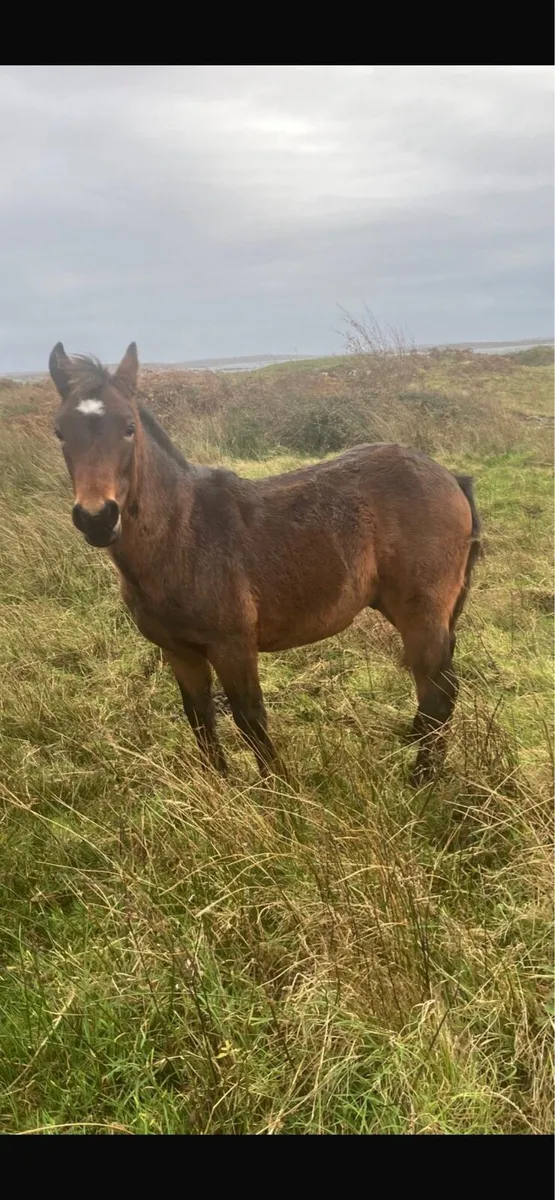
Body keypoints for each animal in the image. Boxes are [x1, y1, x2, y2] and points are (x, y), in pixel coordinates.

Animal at [49, 341, 481, 782]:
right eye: (60, 432)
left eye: (128, 428)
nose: (97, 518)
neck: (182, 534)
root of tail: (449, 476)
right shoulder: (178, 650)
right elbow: (199, 716)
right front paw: (219, 785)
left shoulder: (233, 646)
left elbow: (250, 718)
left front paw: (278, 789)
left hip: (422, 612)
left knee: (438, 689)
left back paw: (422, 778)